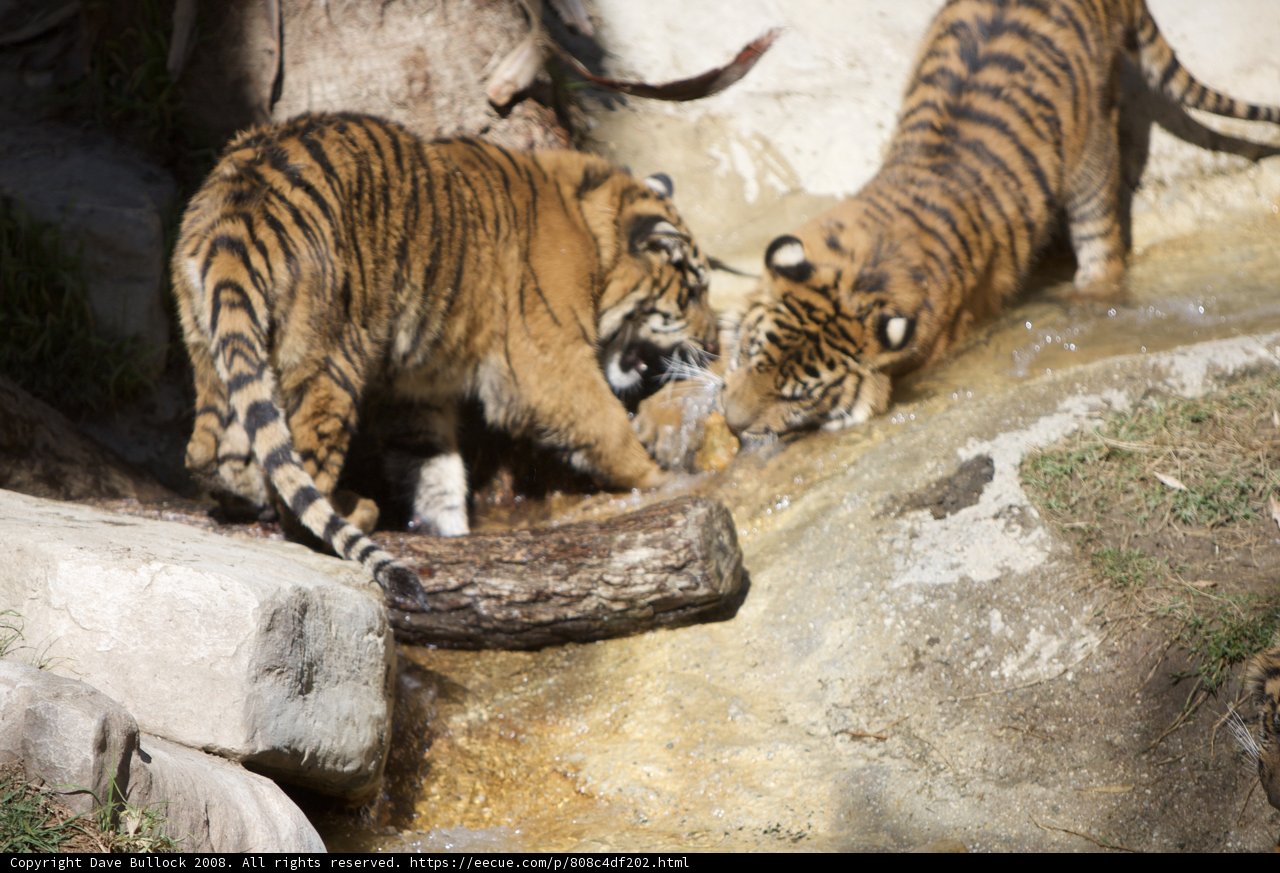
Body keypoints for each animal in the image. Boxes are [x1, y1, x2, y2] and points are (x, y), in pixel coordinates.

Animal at [172, 112, 716, 610]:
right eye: (692, 292)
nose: (714, 339)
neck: (594, 235)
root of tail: (237, 213)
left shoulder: (417, 391)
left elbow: (433, 467)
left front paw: (447, 529)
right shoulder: (548, 365)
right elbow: (607, 428)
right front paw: (669, 479)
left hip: (211, 348)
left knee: (211, 452)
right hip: (330, 360)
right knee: (299, 486)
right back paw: (359, 509)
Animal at [721, 0, 1280, 443]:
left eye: (797, 396)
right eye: (750, 356)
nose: (732, 424)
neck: (863, 279)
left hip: (1091, 157)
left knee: (1103, 244)